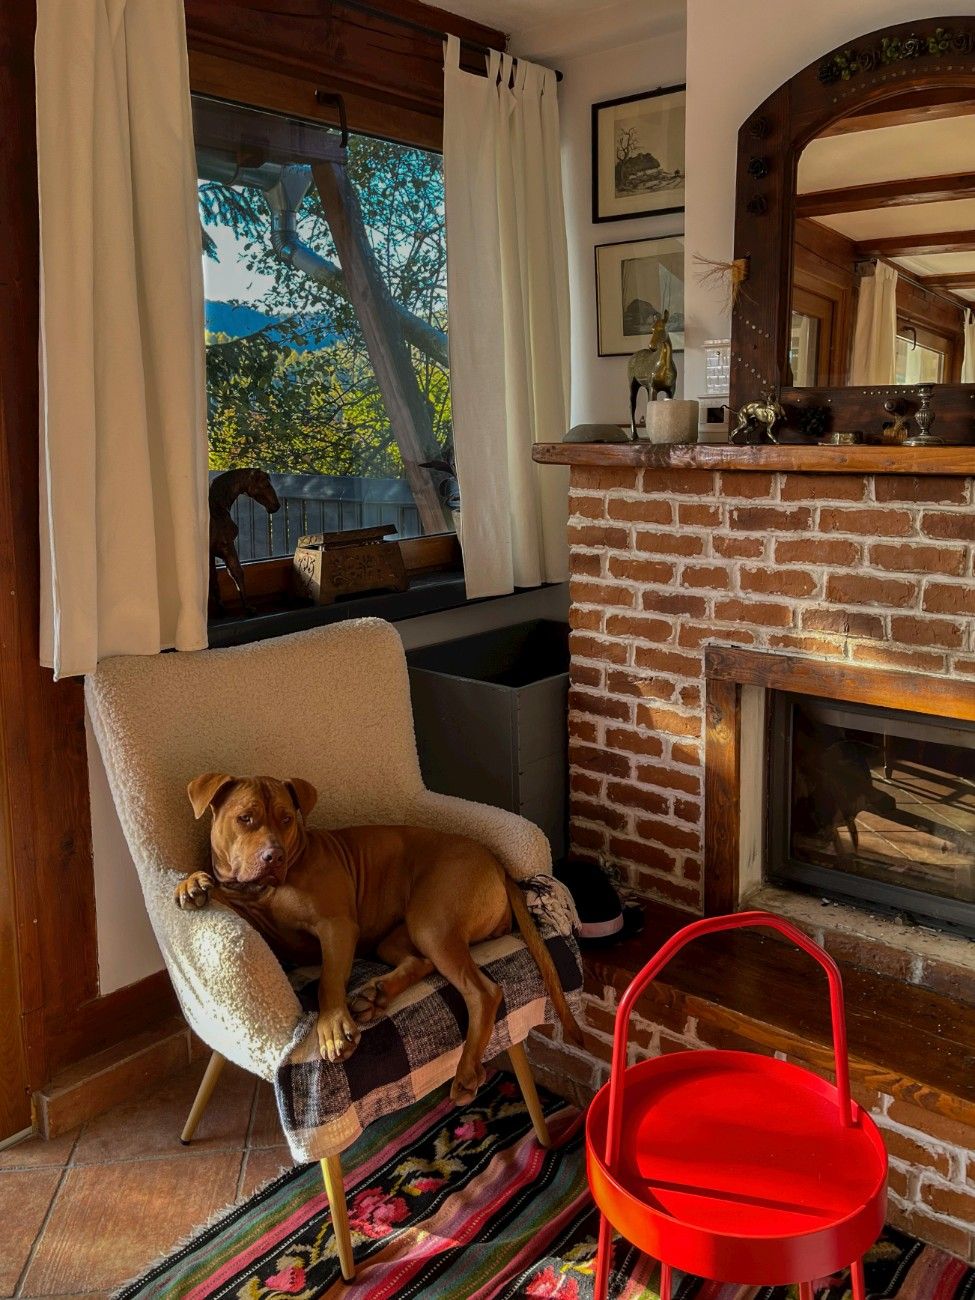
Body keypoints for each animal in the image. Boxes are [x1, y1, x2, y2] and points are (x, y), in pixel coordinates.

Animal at [175, 774, 579, 1102]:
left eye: (286, 818)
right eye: (245, 818)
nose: (272, 856)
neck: (266, 890)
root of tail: (496, 862)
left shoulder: (336, 927)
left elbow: (329, 981)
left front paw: (331, 1026)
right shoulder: (254, 910)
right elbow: (224, 894)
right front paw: (191, 884)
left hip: (431, 923)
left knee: (483, 992)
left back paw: (465, 1071)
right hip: (401, 937)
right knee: (422, 961)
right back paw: (376, 995)